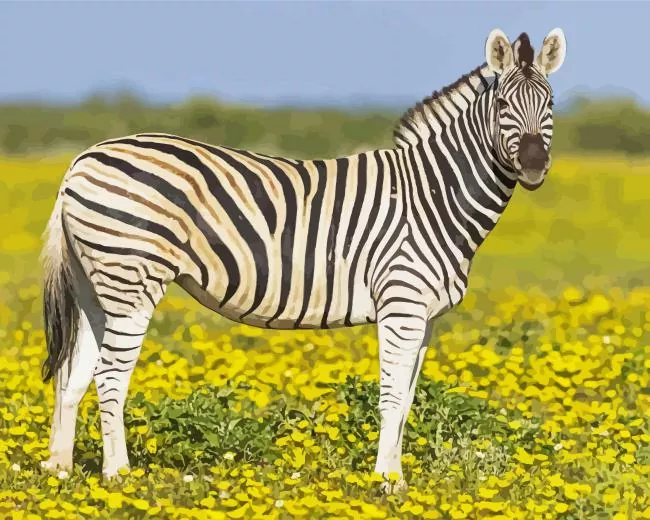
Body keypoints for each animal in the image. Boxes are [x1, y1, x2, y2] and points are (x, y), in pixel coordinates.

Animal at [40, 28, 566, 491]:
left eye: (551, 105)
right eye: (503, 107)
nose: (534, 166)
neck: (432, 197)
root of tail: (81, 160)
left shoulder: (426, 316)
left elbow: (408, 399)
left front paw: (396, 478)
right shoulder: (402, 304)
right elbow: (392, 396)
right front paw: (386, 482)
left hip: (95, 285)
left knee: (73, 372)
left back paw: (60, 473)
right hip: (131, 277)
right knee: (109, 376)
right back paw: (118, 476)